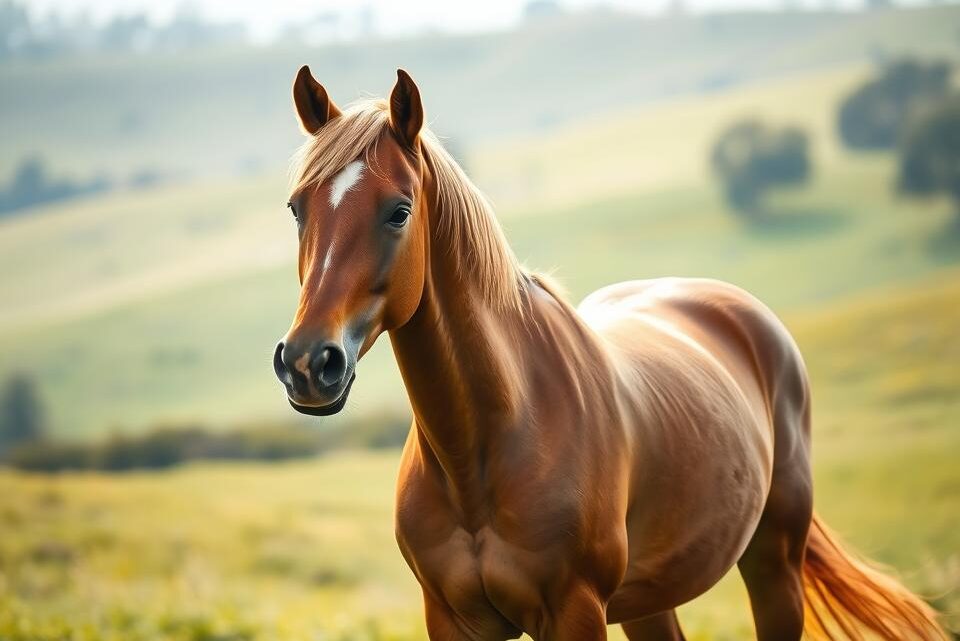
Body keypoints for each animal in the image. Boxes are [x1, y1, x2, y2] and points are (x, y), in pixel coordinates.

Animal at [272, 65, 947, 641]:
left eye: (399, 211)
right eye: (297, 208)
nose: (308, 363)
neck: (491, 440)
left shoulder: (575, 611)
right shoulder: (453, 619)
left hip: (774, 566)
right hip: (651, 600)